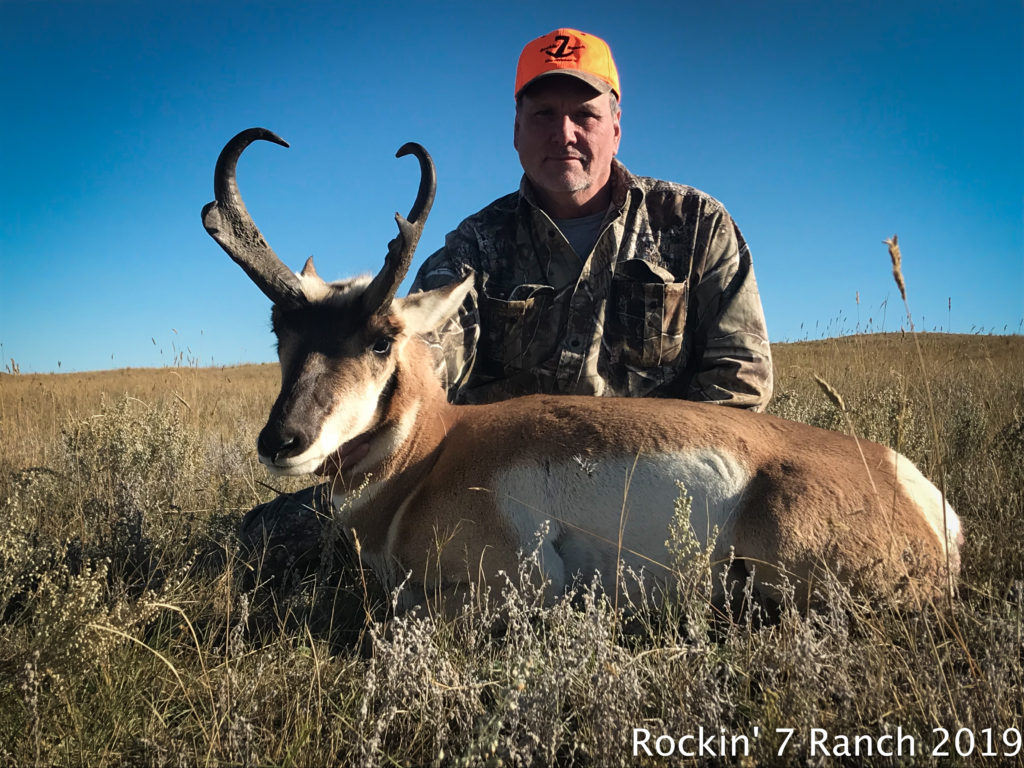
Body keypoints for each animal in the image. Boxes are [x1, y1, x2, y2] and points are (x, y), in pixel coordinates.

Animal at [203, 129, 962, 618]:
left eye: (383, 339)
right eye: (281, 330)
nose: (284, 441)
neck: (432, 453)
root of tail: (914, 489)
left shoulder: (513, 586)